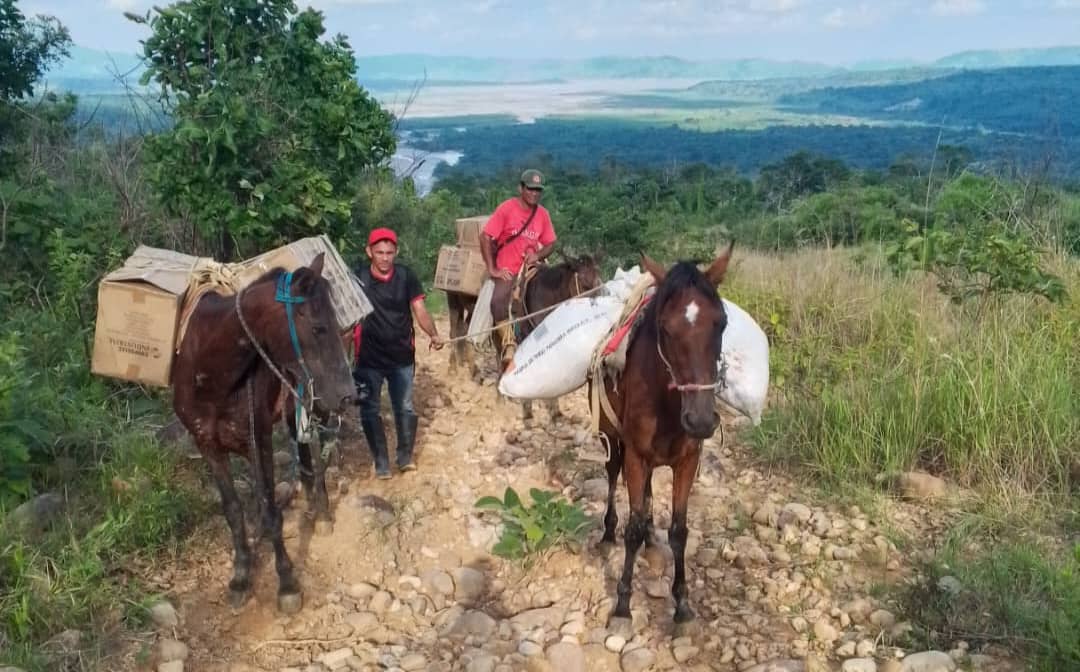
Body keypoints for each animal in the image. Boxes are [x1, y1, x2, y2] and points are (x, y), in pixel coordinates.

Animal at [170, 253, 352, 617]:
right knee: (304, 457)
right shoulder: (208, 445)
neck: (211, 375)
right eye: (318, 327)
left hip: (315, 407)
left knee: (317, 458)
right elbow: (233, 509)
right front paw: (241, 575)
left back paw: (323, 513)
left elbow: (270, 509)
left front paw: (287, 583)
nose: (347, 394)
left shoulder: (260, 442)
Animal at [591, 243, 734, 635]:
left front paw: (682, 605)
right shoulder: (636, 456)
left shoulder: (688, 461)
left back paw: (652, 541)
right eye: (665, 328)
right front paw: (623, 605)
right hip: (613, 438)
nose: (700, 420)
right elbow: (632, 527)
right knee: (613, 475)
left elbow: (680, 531)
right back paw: (607, 535)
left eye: (722, 322)